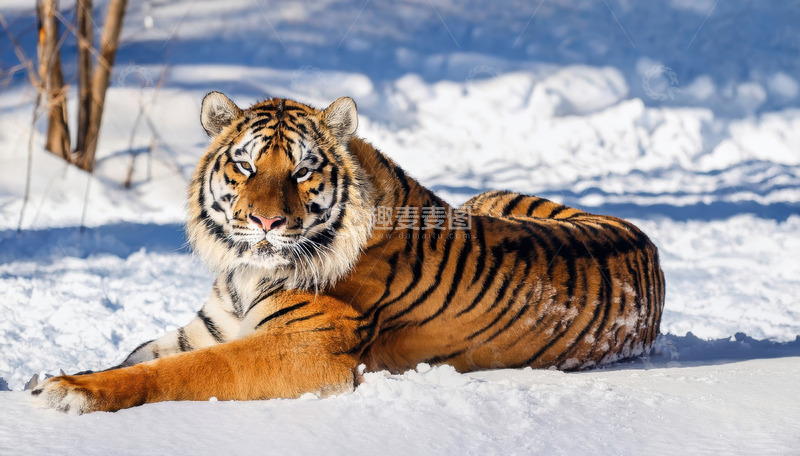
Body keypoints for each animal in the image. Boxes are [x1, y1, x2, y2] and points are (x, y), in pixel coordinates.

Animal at [33, 94, 665, 414]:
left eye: (302, 171)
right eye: (245, 165)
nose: (265, 222)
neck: (246, 272)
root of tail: (643, 236)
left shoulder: (306, 350)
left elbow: (183, 371)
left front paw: (71, 391)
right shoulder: (208, 327)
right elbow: (134, 355)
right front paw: (51, 379)